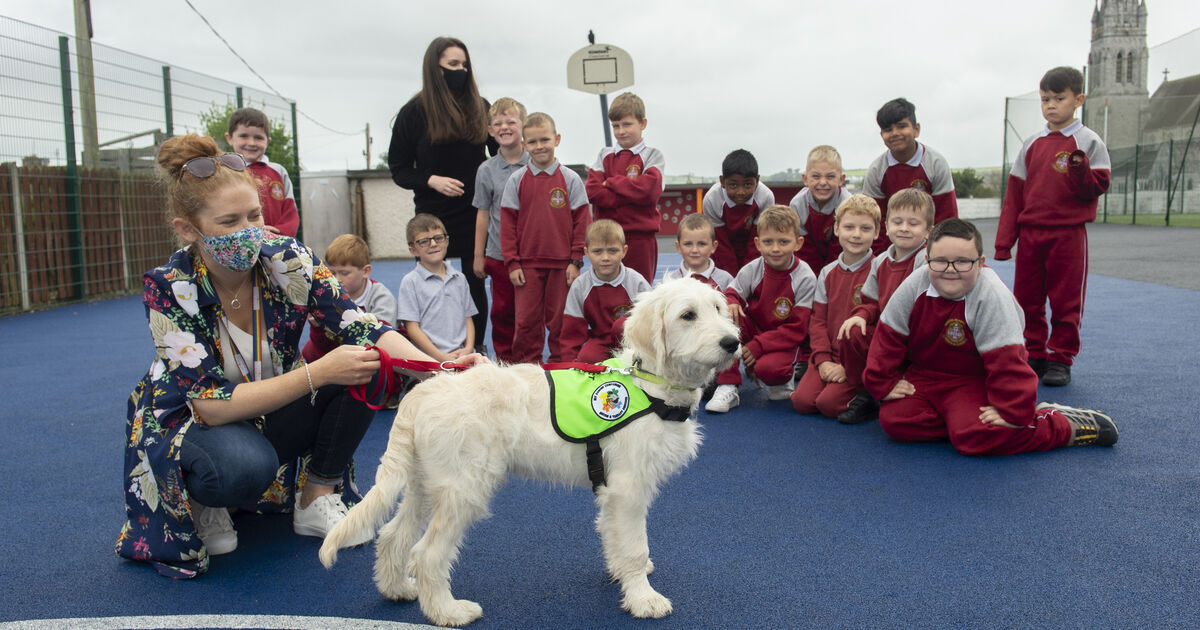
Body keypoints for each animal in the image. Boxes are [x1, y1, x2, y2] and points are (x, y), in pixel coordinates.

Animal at [319, 278, 740, 626]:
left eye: (719, 309)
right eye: (687, 315)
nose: (732, 343)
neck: (648, 384)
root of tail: (423, 393)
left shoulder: (612, 490)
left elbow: (614, 535)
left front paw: (621, 573)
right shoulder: (628, 488)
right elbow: (635, 545)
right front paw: (644, 600)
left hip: (426, 484)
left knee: (393, 535)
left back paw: (397, 589)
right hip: (463, 488)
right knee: (426, 553)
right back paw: (448, 612)